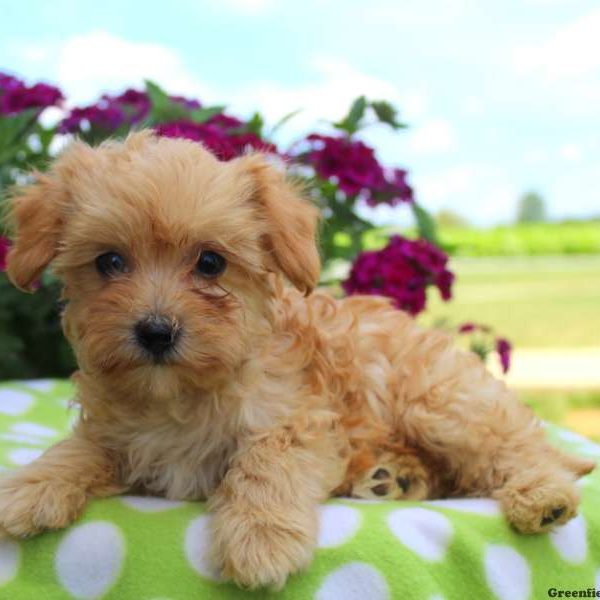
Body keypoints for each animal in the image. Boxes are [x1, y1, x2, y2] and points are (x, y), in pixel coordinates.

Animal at [0, 132, 592, 592]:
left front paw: (261, 538)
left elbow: (268, 461)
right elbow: (79, 448)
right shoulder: (117, 432)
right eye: (109, 262)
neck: (178, 395)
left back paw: (542, 496)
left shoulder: (301, 419)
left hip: (439, 403)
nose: (155, 332)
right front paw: (30, 487)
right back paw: (393, 477)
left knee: (517, 448)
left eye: (210, 263)